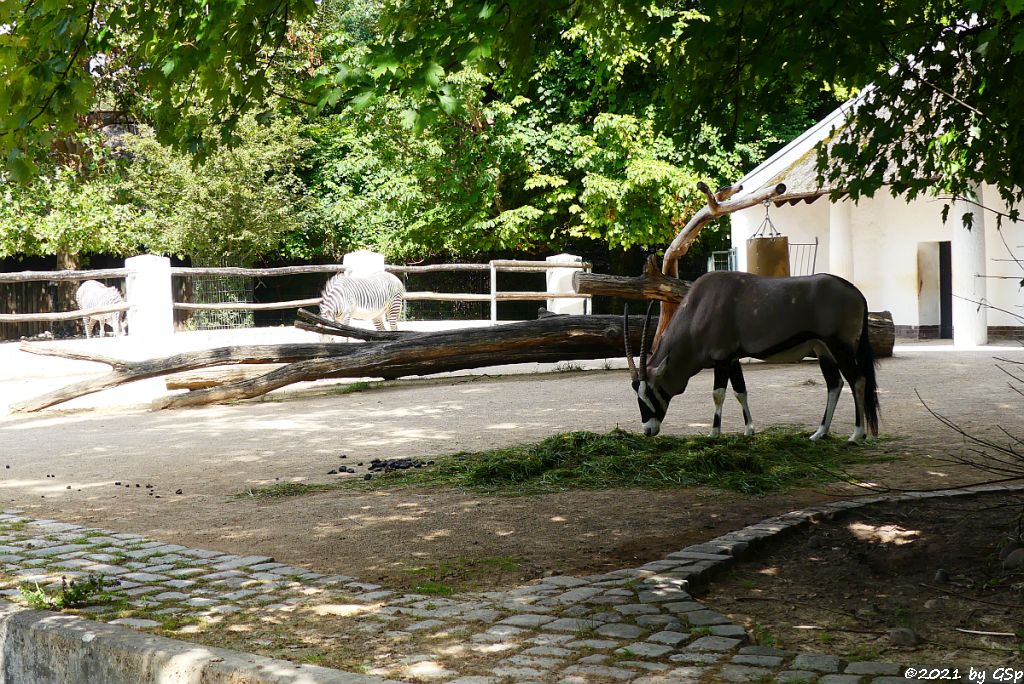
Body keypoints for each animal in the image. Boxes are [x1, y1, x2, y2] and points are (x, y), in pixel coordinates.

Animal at [622, 272, 880, 444]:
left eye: (652, 392)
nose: (648, 430)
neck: (699, 309)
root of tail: (857, 293)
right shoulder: (733, 359)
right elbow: (740, 392)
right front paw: (749, 430)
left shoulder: (722, 360)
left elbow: (718, 394)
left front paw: (714, 433)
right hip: (823, 349)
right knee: (834, 384)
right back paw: (819, 433)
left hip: (840, 347)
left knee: (857, 381)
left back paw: (856, 435)